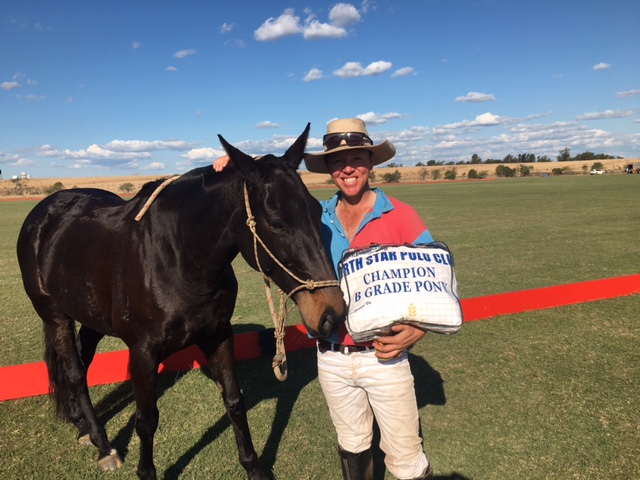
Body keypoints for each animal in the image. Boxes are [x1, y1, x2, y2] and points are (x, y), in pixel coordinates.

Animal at [16, 124, 344, 480]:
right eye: (276, 222)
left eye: (318, 212)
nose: (332, 313)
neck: (180, 259)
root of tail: (43, 212)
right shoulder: (142, 353)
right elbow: (146, 420)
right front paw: (146, 472)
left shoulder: (218, 335)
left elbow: (234, 402)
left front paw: (253, 466)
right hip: (53, 314)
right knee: (75, 372)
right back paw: (103, 445)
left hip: (92, 316)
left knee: (82, 361)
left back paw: (83, 427)